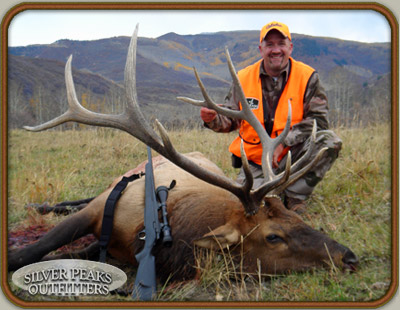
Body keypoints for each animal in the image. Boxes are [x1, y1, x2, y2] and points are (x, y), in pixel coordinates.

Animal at [7, 24, 358, 284]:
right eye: (273, 237)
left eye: (297, 217)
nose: (350, 256)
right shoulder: (101, 208)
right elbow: (32, 251)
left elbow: (76, 254)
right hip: (118, 180)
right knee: (79, 200)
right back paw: (42, 206)